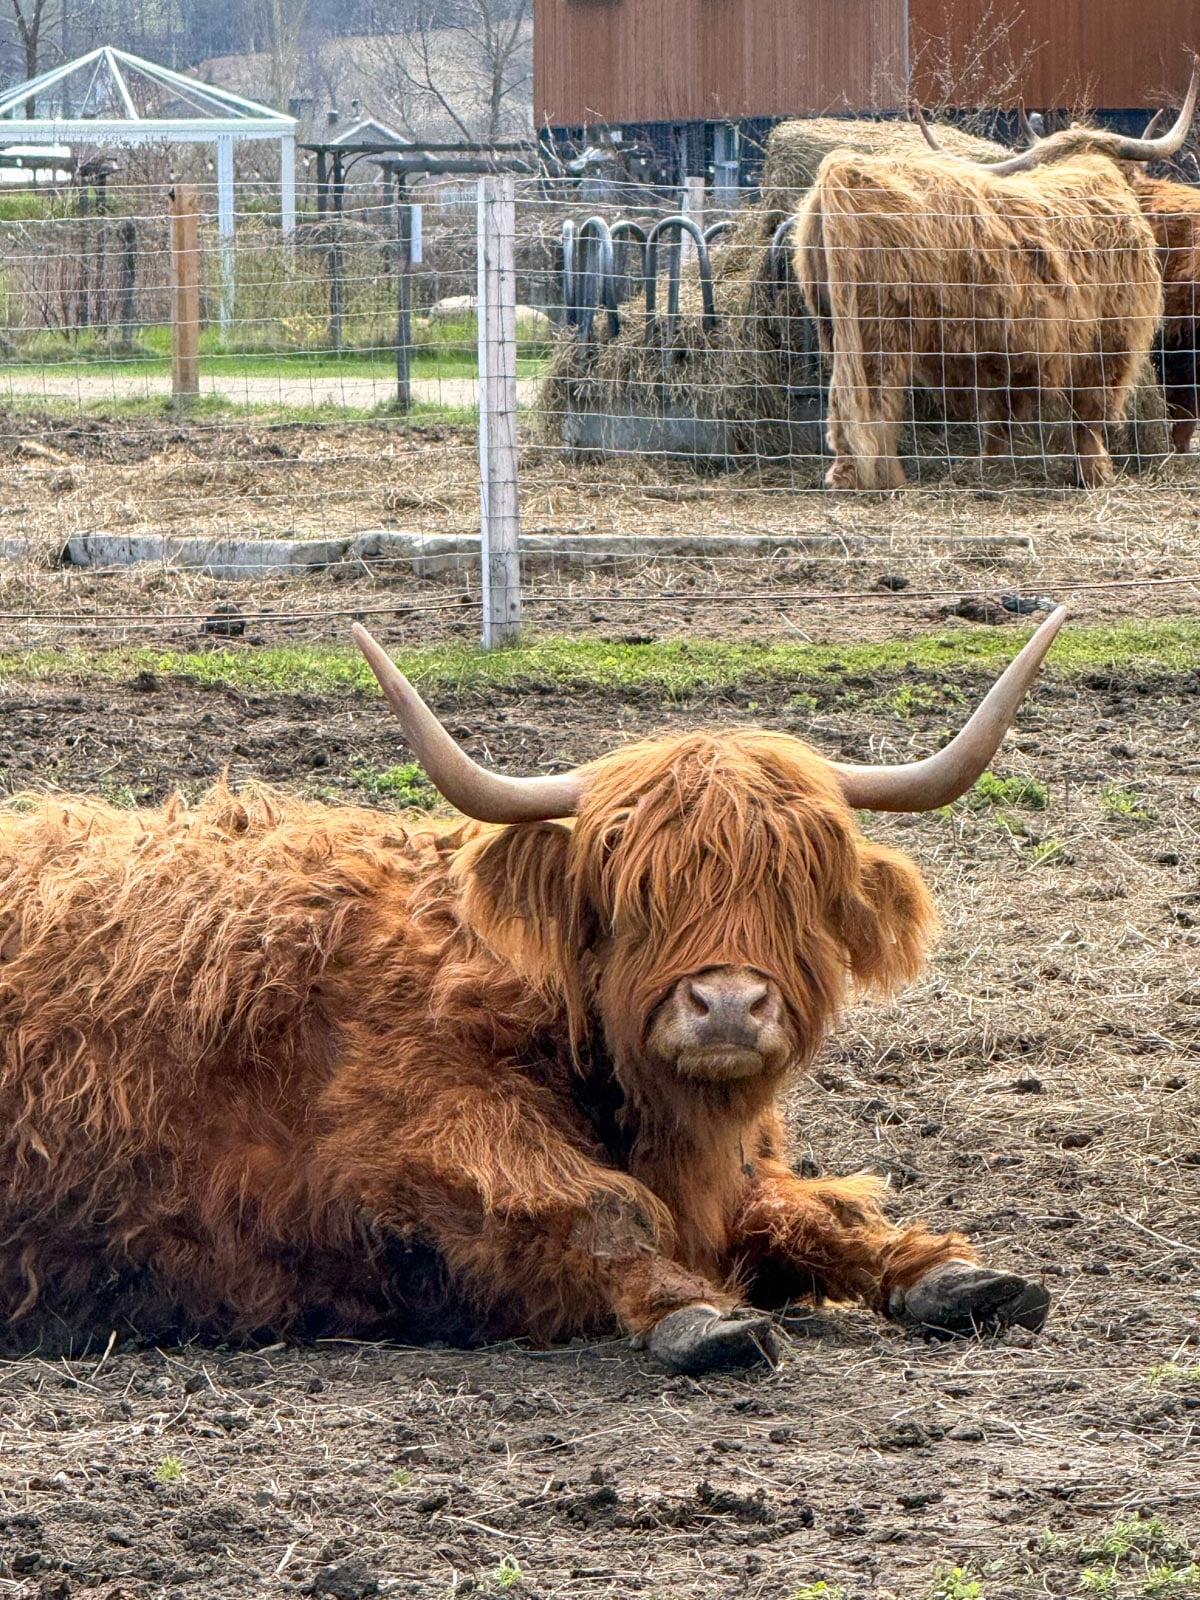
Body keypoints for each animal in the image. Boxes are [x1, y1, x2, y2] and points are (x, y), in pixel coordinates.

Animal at [0, 614, 1066, 1375]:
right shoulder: (419, 1158)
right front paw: (701, 1315)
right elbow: (598, 1211)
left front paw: (952, 1274)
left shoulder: (733, 1177)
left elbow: (813, 1211)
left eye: (800, 883)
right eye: (632, 890)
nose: (726, 1007)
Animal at [795, 63, 1198, 492]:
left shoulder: (1007, 353)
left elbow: (1000, 417)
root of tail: (843, 175)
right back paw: (886, 478)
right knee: (872, 397)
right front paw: (1095, 473)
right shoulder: (1111, 336)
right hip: (880, 331)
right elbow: (1089, 413)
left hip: (832, 325)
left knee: (840, 398)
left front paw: (992, 468)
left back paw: (844, 473)